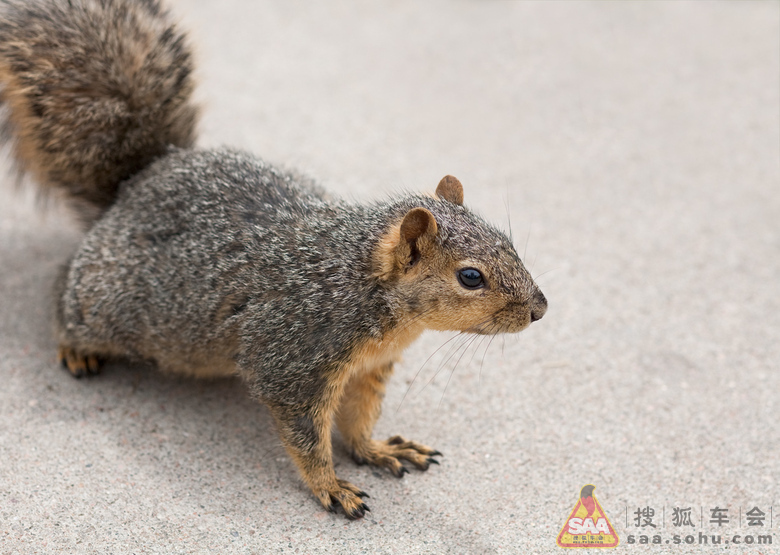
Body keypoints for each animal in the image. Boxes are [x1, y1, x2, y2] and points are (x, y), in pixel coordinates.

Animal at [1, 0, 548, 520]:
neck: (364, 286)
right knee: (65, 294)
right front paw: (332, 487)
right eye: (470, 277)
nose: (540, 308)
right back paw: (75, 348)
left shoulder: (370, 368)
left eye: (508, 240)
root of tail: (140, 181)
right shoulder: (294, 357)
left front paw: (377, 449)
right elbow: (306, 435)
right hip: (108, 303)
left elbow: (359, 418)